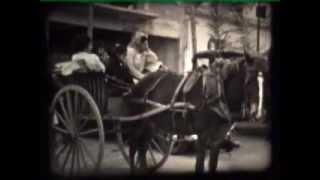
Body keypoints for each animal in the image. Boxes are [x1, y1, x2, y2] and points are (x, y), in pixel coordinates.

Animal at [123, 50, 268, 174]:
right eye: (249, 80)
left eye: (265, 80)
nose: (256, 113)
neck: (217, 92)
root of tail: (140, 83)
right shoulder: (202, 136)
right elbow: (199, 166)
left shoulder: (217, 139)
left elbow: (213, 165)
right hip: (138, 122)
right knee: (133, 147)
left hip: (152, 124)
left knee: (142, 148)